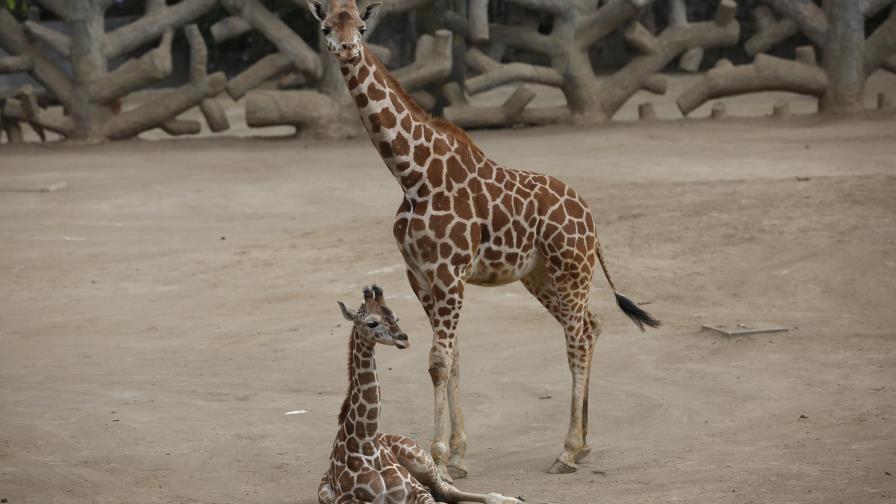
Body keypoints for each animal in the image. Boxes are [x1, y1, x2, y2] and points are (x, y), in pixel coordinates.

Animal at [307, 0, 661, 480]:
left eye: (361, 26)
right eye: (326, 26)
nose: (346, 48)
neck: (413, 176)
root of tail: (591, 218)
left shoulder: (449, 273)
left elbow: (438, 361)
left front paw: (438, 457)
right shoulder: (420, 275)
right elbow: (452, 356)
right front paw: (457, 456)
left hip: (572, 268)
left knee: (577, 338)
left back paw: (567, 450)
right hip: (540, 276)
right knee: (591, 325)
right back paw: (585, 443)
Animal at [320, 285, 524, 504]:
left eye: (396, 317)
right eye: (371, 323)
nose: (403, 338)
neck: (365, 443)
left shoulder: (413, 488)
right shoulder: (347, 500)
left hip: (421, 460)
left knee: (447, 490)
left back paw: (510, 499)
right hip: (325, 492)